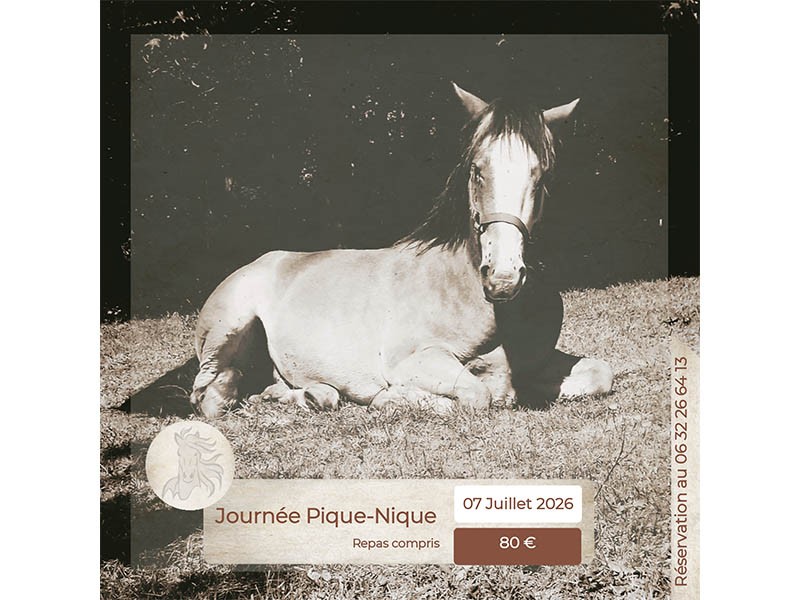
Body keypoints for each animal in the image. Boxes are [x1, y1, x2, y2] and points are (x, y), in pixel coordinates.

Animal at [189, 83, 613, 418]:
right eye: (477, 169)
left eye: (541, 174)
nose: (503, 278)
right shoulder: (414, 361)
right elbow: (477, 394)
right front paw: (390, 399)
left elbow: (601, 374)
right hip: (229, 328)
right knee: (210, 393)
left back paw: (312, 395)